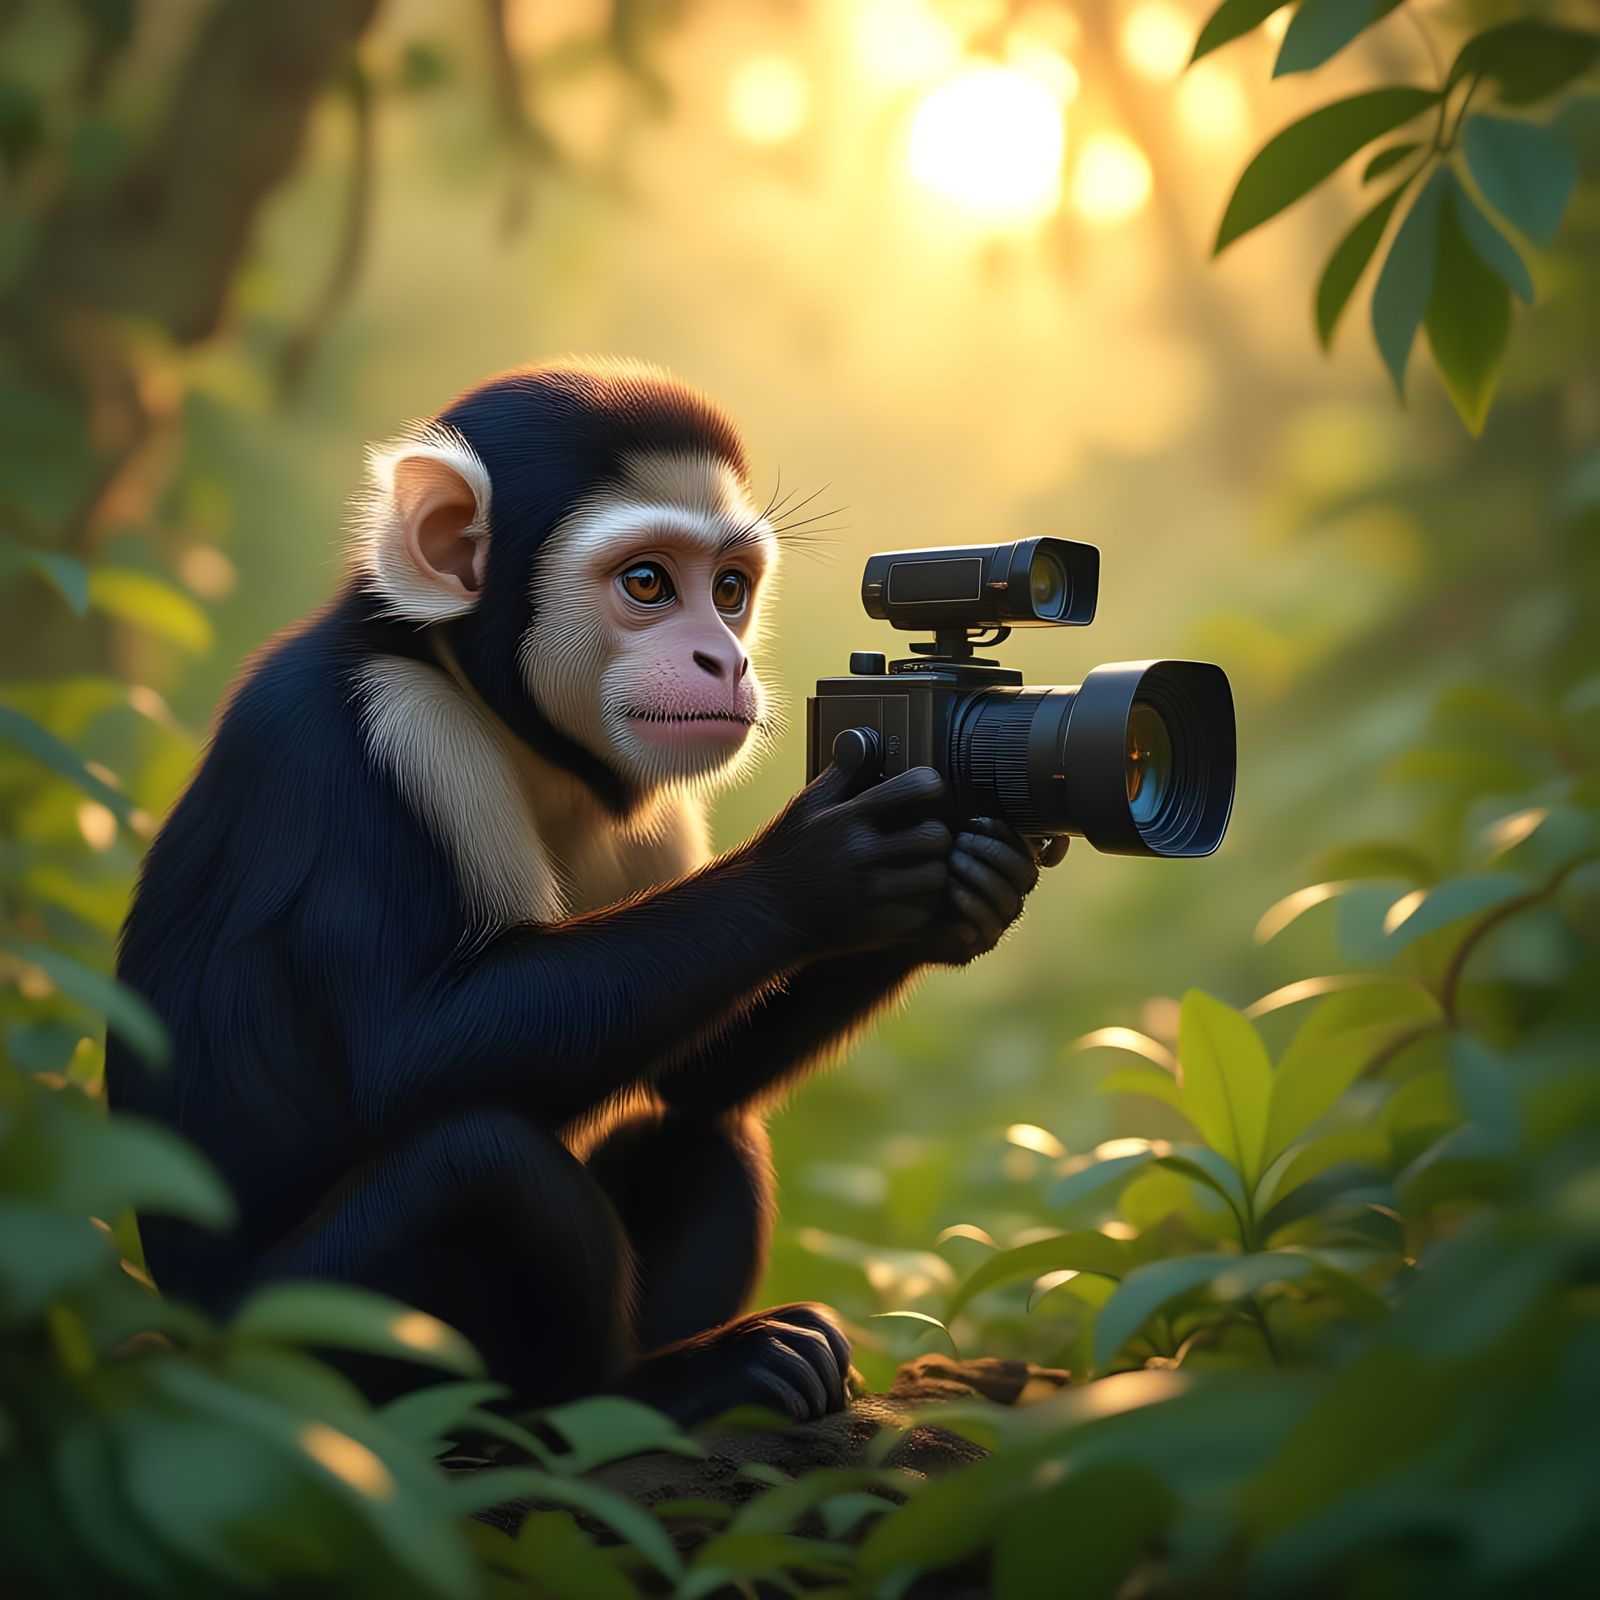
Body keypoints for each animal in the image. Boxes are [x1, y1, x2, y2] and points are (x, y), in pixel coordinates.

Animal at [105, 360, 1060, 1426]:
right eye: (648, 583)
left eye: (729, 591)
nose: (725, 658)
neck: (494, 709)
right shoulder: (384, 730)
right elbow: (413, 1054)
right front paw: (823, 869)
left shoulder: (659, 812)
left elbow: (695, 1073)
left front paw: (964, 888)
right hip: (284, 1345)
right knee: (483, 1165)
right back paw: (649, 1388)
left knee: (702, 1131)